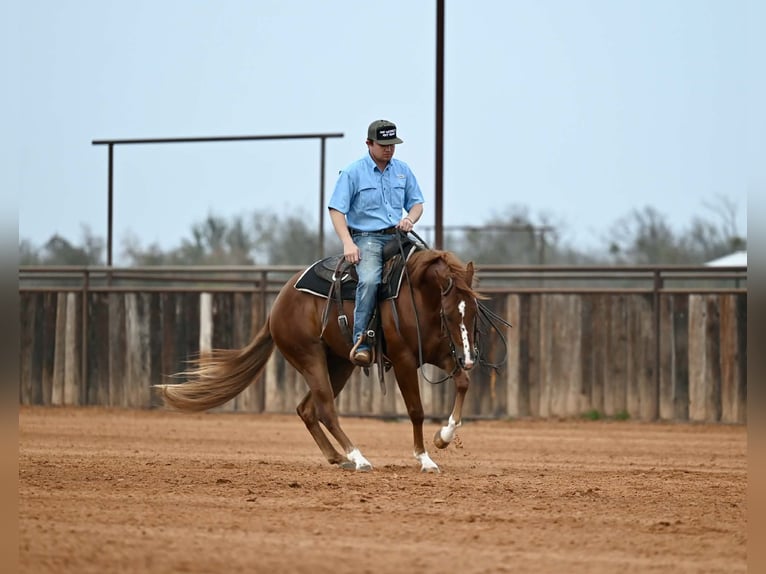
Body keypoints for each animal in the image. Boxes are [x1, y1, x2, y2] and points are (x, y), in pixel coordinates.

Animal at [155, 245, 497, 473]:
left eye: (474, 312)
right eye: (449, 313)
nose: (470, 357)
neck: (416, 294)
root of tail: (277, 305)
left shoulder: (441, 353)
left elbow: (463, 383)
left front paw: (443, 437)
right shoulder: (403, 359)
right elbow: (416, 410)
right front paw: (424, 458)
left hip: (340, 363)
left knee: (306, 409)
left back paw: (338, 458)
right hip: (311, 359)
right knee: (326, 410)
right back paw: (358, 458)